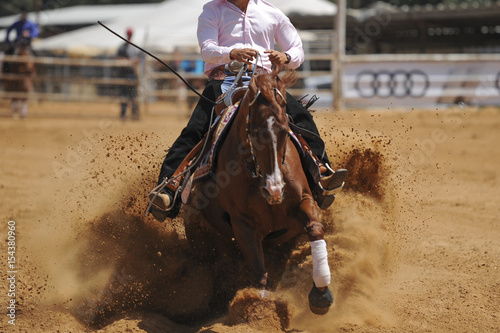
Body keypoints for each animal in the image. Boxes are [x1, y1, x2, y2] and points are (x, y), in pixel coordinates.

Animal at [186, 65, 334, 314]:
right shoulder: (243, 224)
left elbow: (315, 228)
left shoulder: (304, 200)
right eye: (253, 132)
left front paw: (321, 293)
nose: (274, 191)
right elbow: (260, 273)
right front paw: (260, 312)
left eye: (285, 130)